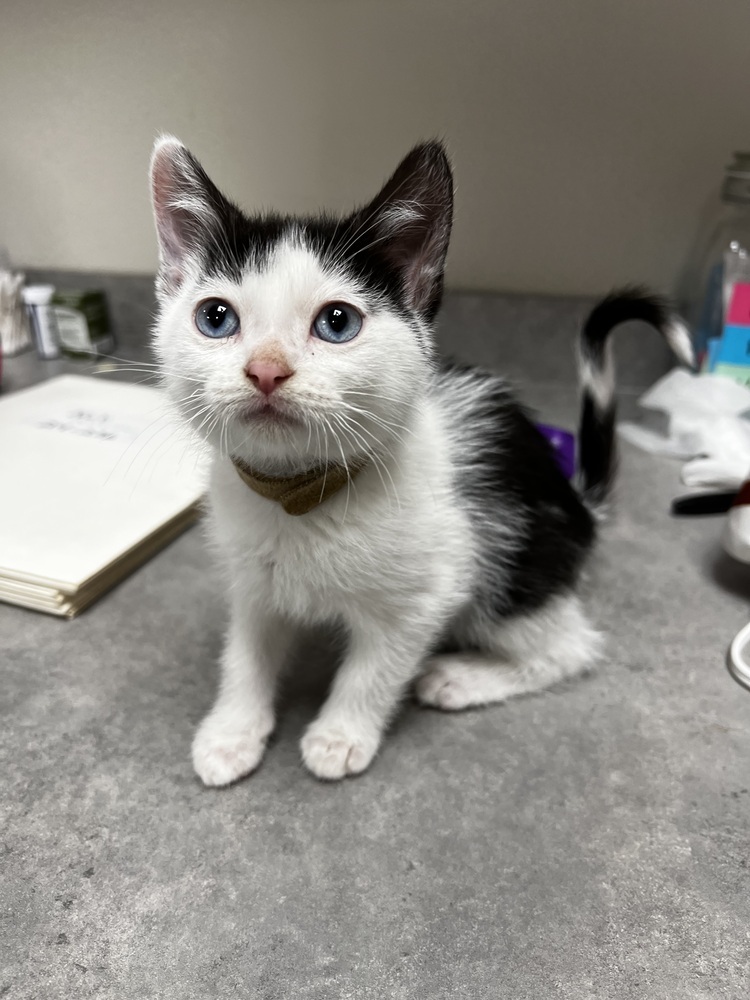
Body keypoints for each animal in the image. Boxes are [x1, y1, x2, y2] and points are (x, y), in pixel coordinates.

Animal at [148, 137, 692, 784]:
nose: (266, 370)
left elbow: (374, 668)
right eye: (215, 318)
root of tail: (578, 501)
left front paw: (340, 735)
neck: (298, 495)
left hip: (513, 567)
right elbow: (246, 650)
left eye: (337, 322)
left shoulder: (431, 589)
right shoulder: (251, 579)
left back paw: (461, 678)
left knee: (573, 648)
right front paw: (233, 730)